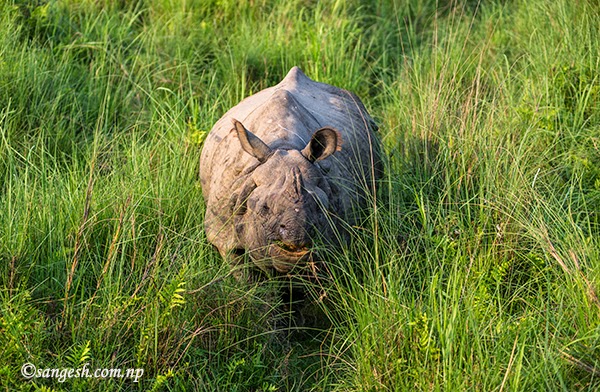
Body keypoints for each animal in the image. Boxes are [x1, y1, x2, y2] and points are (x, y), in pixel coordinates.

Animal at [199, 66, 382, 276]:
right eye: (264, 208)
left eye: (319, 207)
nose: (297, 233)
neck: (285, 145)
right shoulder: (223, 234)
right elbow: (241, 271)